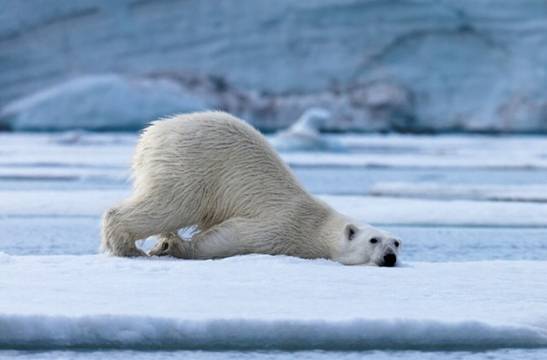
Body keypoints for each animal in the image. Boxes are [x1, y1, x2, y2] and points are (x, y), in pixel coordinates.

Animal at [101, 111, 402, 266]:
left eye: (397, 242)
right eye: (373, 240)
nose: (390, 257)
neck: (317, 224)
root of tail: (151, 133)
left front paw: (167, 244)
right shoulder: (281, 226)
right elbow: (231, 237)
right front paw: (174, 247)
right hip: (188, 166)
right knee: (170, 204)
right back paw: (128, 248)